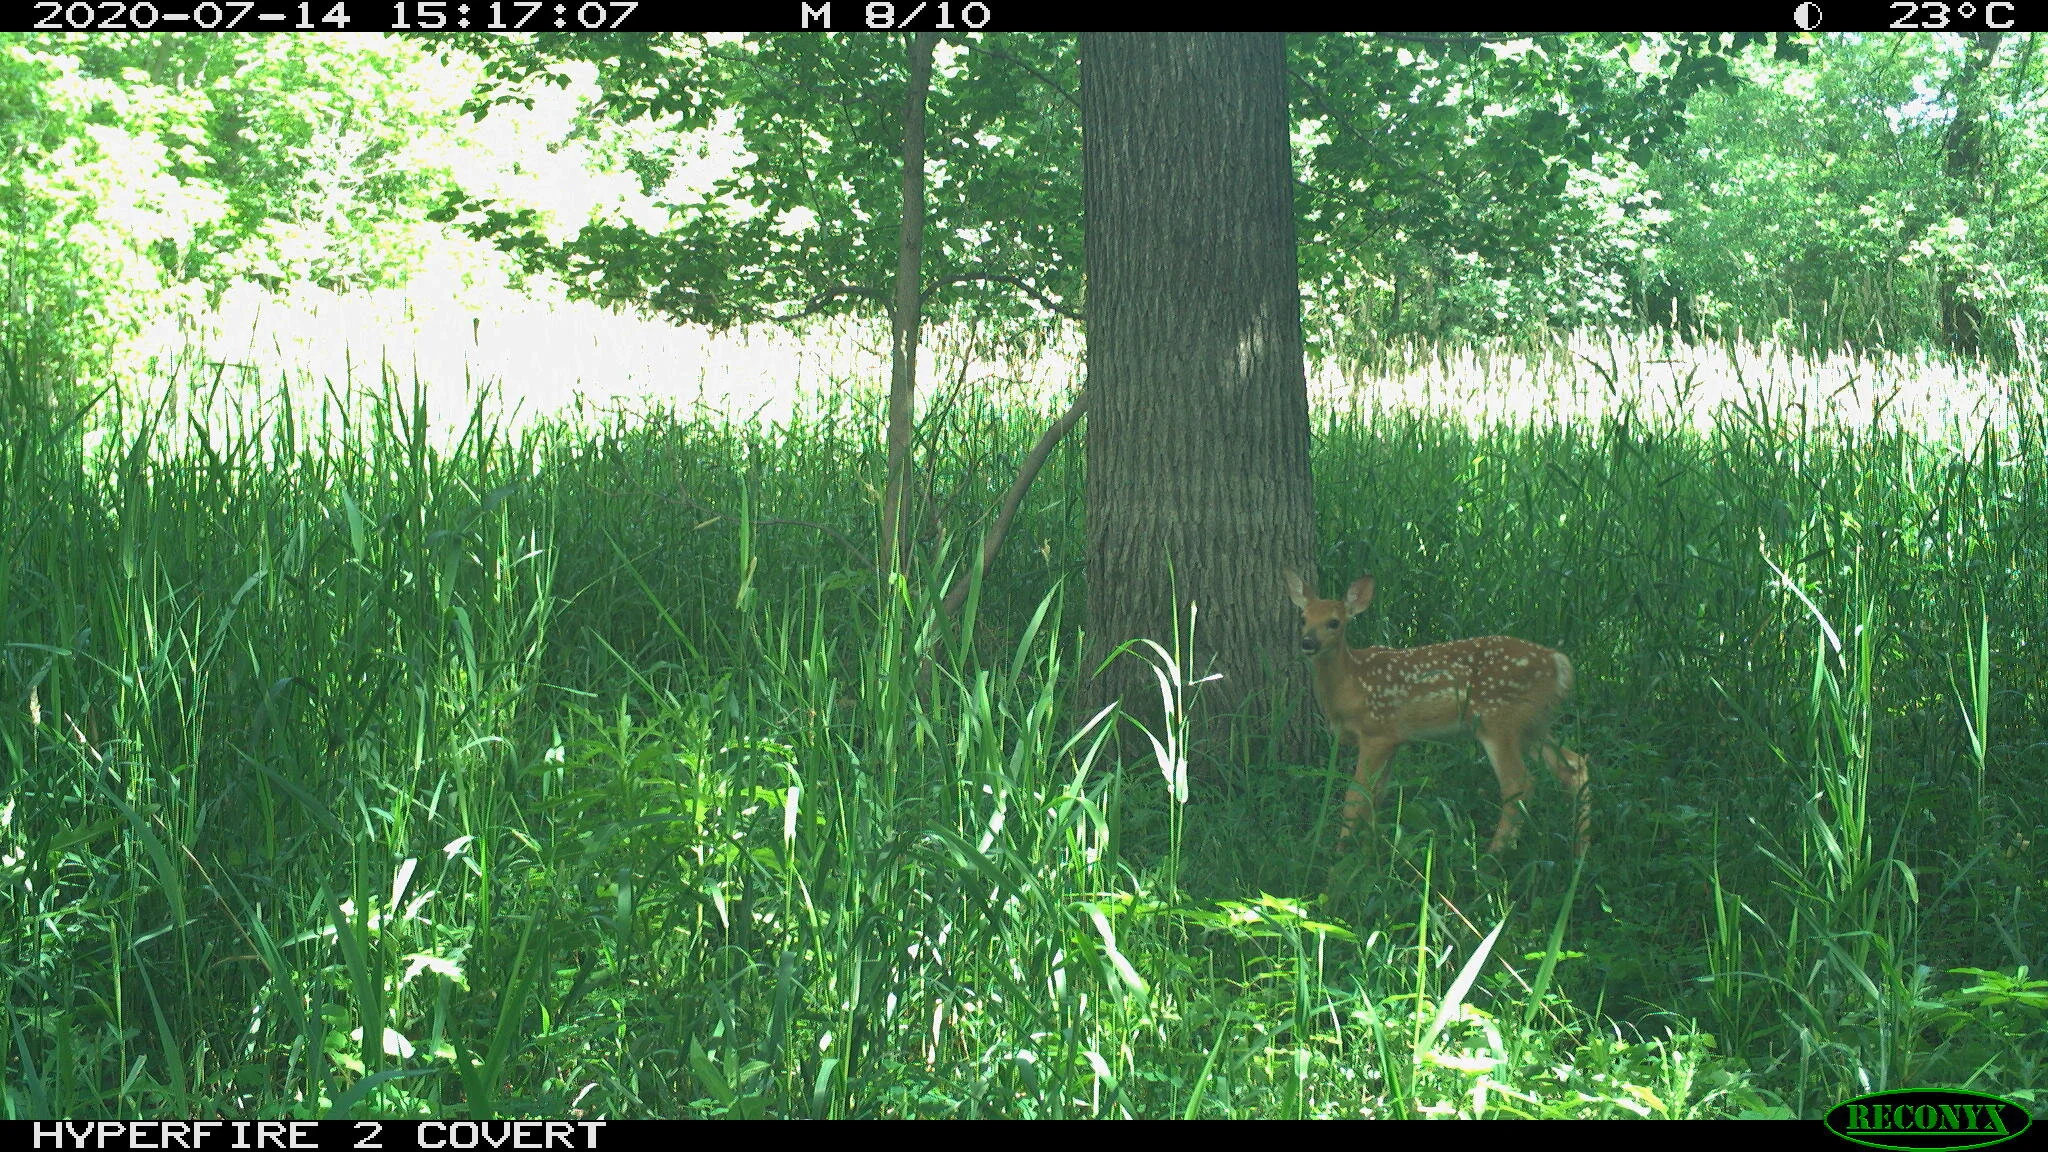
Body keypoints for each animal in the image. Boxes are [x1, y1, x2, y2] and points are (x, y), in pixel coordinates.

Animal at [1282, 569, 1589, 857]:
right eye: (1303, 619)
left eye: (1334, 622)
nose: (1308, 643)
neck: (1351, 683)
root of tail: (1559, 663)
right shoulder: (1394, 740)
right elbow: (1376, 796)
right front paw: (1368, 850)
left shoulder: (1377, 731)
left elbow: (1356, 796)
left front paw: (1340, 852)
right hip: (1533, 723)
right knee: (1573, 765)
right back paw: (1579, 850)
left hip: (1499, 721)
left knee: (1519, 783)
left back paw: (1493, 855)